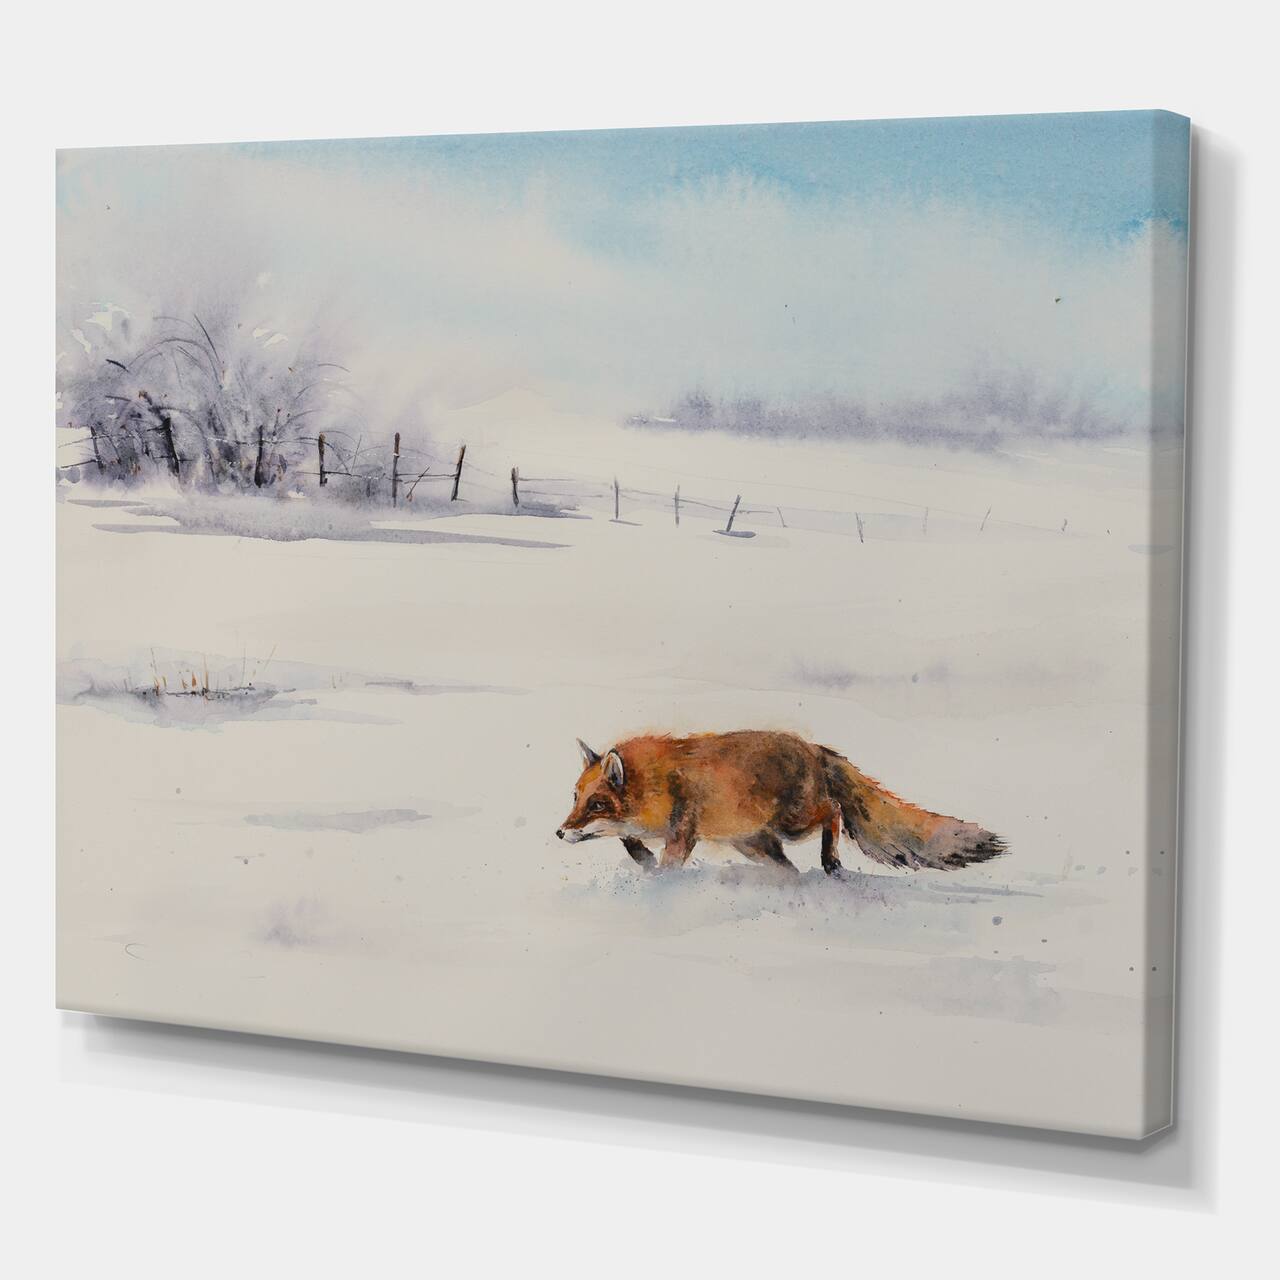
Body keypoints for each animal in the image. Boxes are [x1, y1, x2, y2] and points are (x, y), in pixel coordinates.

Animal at [556, 730, 1005, 874]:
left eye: (596, 805)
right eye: (576, 798)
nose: (559, 832)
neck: (659, 783)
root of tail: (815, 748)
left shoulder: (683, 829)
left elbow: (667, 864)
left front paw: (659, 885)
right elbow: (629, 843)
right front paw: (643, 862)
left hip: (793, 824)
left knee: (834, 811)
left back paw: (831, 861)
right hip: (756, 843)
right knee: (788, 867)